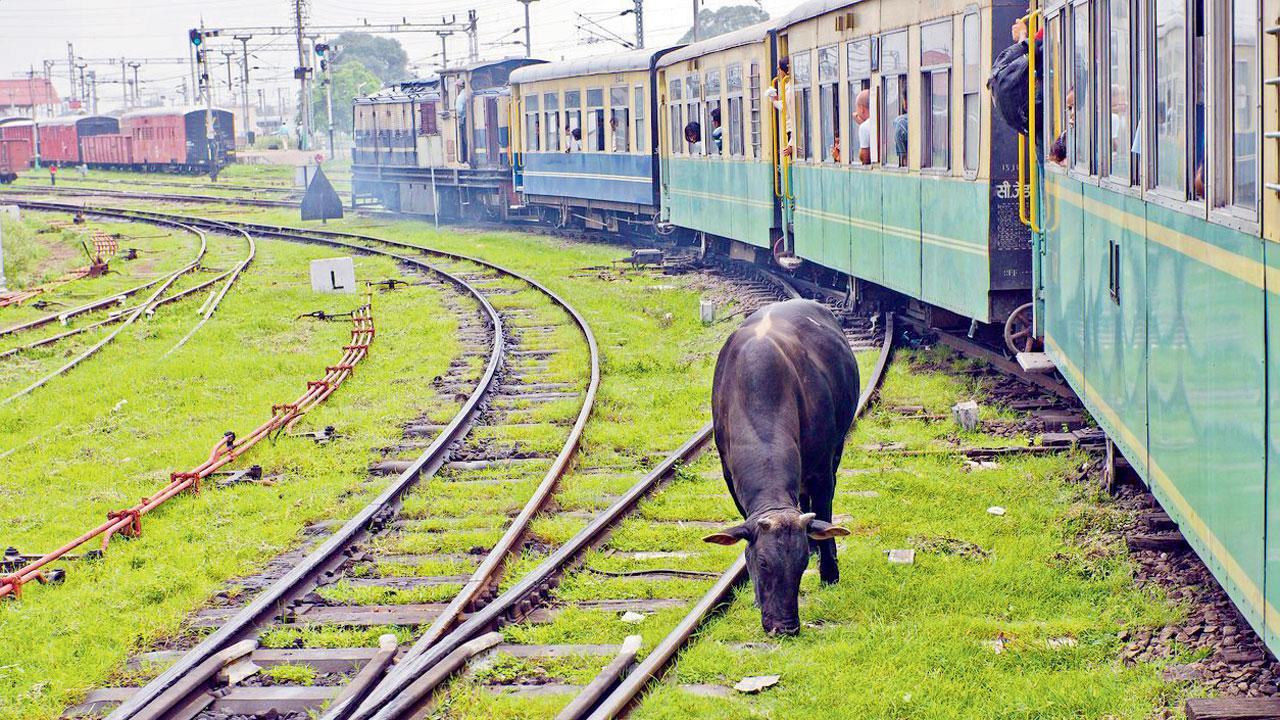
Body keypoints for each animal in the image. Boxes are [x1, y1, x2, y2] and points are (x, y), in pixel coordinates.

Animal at [701, 297, 860, 632]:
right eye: (762, 562)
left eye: (800, 564)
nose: (784, 626)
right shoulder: (728, 474)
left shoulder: (822, 470)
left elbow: (825, 510)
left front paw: (829, 572)